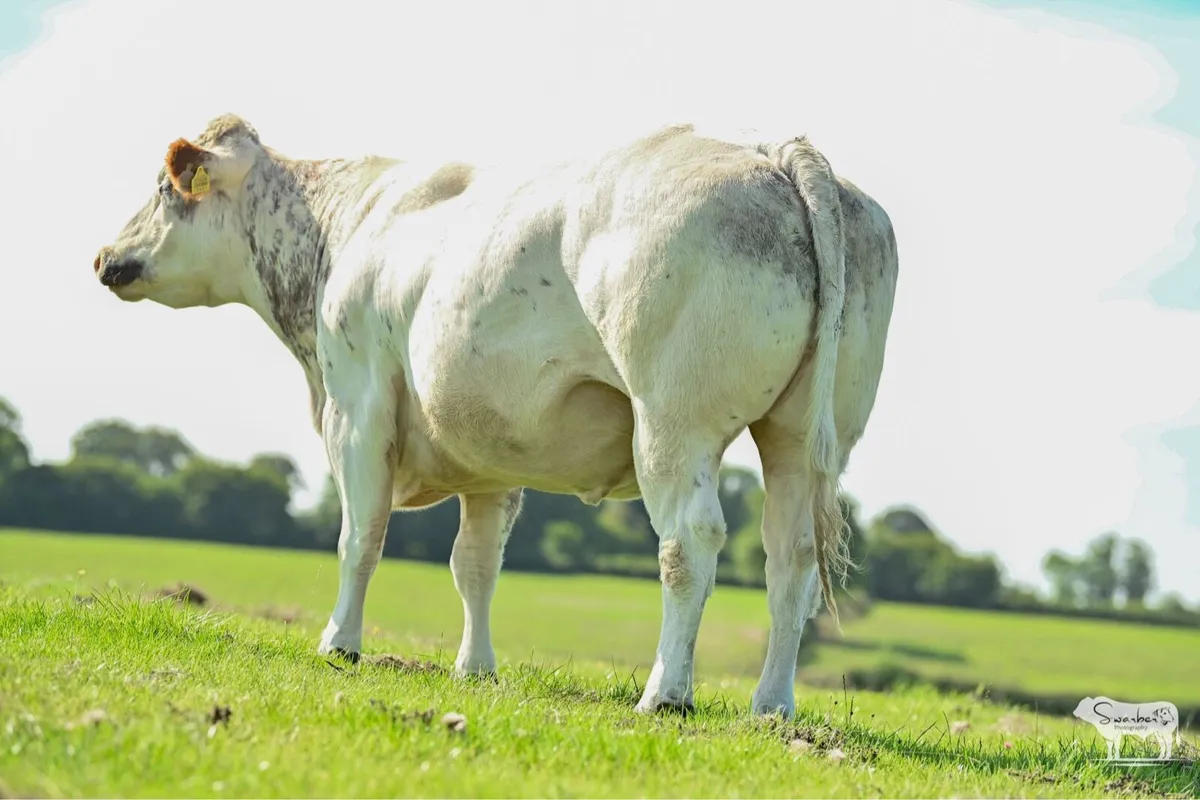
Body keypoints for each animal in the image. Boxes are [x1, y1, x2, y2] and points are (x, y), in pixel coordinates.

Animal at [93, 114, 898, 718]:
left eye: (165, 191)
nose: (105, 256)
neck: (343, 229)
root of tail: (771, 150)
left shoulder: (357, 406)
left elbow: (360, 538)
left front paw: (339, 643)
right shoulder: (489, 453)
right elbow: (474, 565)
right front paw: (474, 667)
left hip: (674, 423)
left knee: (689, 544)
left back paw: (666, 694)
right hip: (803, 438)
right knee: (791, 558)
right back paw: (772, 705)